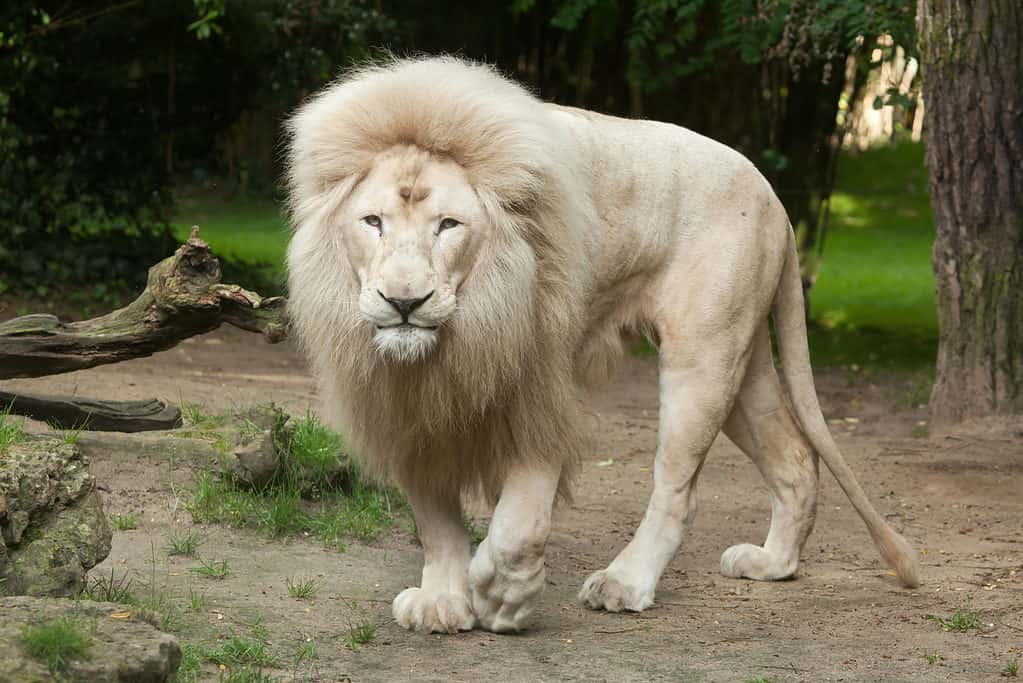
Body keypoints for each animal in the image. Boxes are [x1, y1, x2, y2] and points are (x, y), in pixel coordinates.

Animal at [286, 57, 920, 633]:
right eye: (373, 222)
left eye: (448, 225)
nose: (404, 302)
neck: (457, 341)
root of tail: (774, 198)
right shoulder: (404, 405)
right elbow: (434, 519)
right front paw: (441, 601)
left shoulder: (541, 385)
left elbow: (519, 521)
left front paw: (503, 595)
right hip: (746, 362)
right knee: (794, 456)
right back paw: (773, 563)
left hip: (703, 354)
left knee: (678, 488)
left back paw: (625, 583)